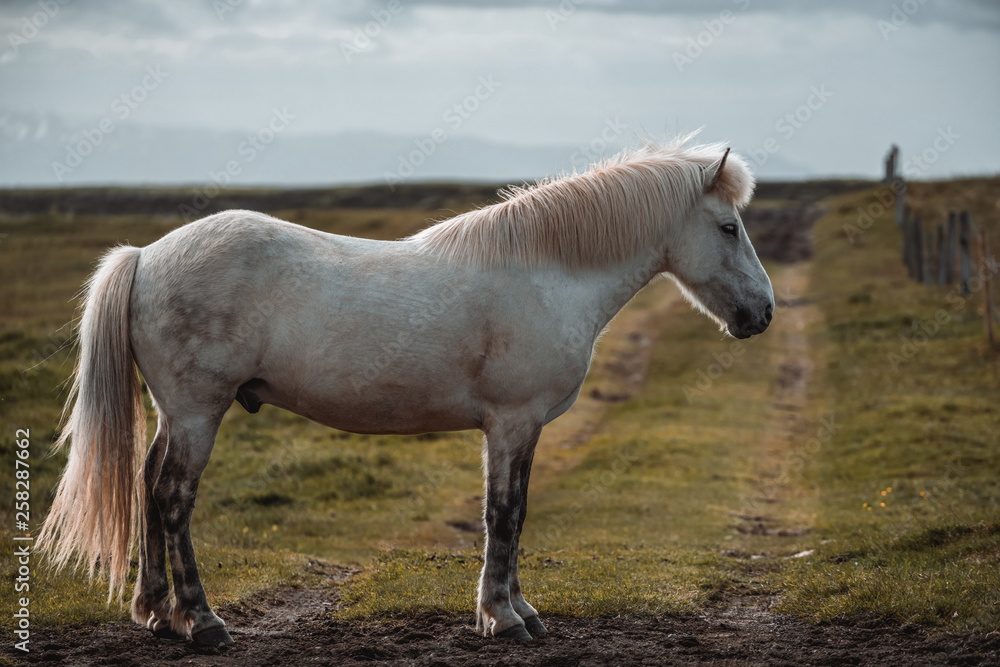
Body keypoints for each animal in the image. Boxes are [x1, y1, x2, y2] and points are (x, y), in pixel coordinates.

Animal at [37, 137, 772, 648]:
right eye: (729, 227)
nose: (762, 313)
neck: (547, 271)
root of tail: (146, 255)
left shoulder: (521, 428)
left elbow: (515, 513)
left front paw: (518, 610)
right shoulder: (511, 422)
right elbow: (504, 514)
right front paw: (503, 619)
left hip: (176, 414)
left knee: (146, 484)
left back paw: (157, 613)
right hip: (196, 411)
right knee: (171, 497)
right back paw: (201, 620)